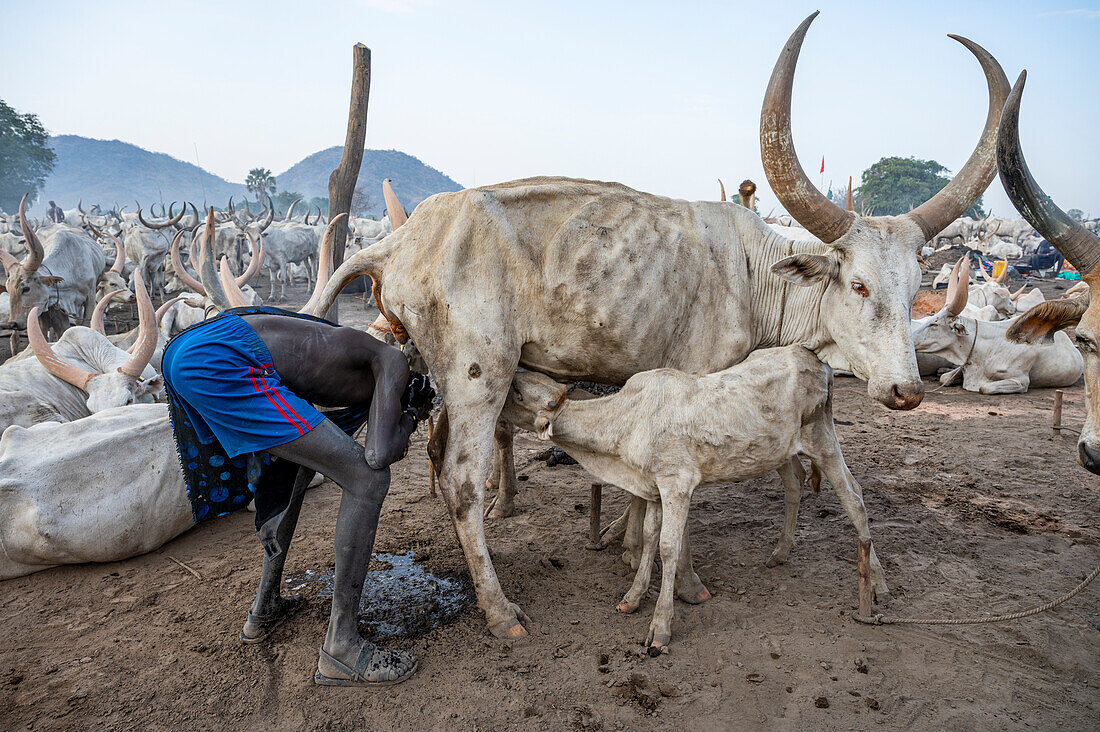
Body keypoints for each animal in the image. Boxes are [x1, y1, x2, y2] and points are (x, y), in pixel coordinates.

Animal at [499, 343, 884, 647]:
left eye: (518, 392)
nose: (502, 386)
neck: (624, 428)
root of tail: (813, 357)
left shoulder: (677, 483)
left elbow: (668, 547)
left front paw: (660, 627)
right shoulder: (654, 487)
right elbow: (650, 537)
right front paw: (633, 597)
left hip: (822, 439)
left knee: (854, 498)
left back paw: (875, 584)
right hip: (780, 450)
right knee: (800, 483)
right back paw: (781, 553)